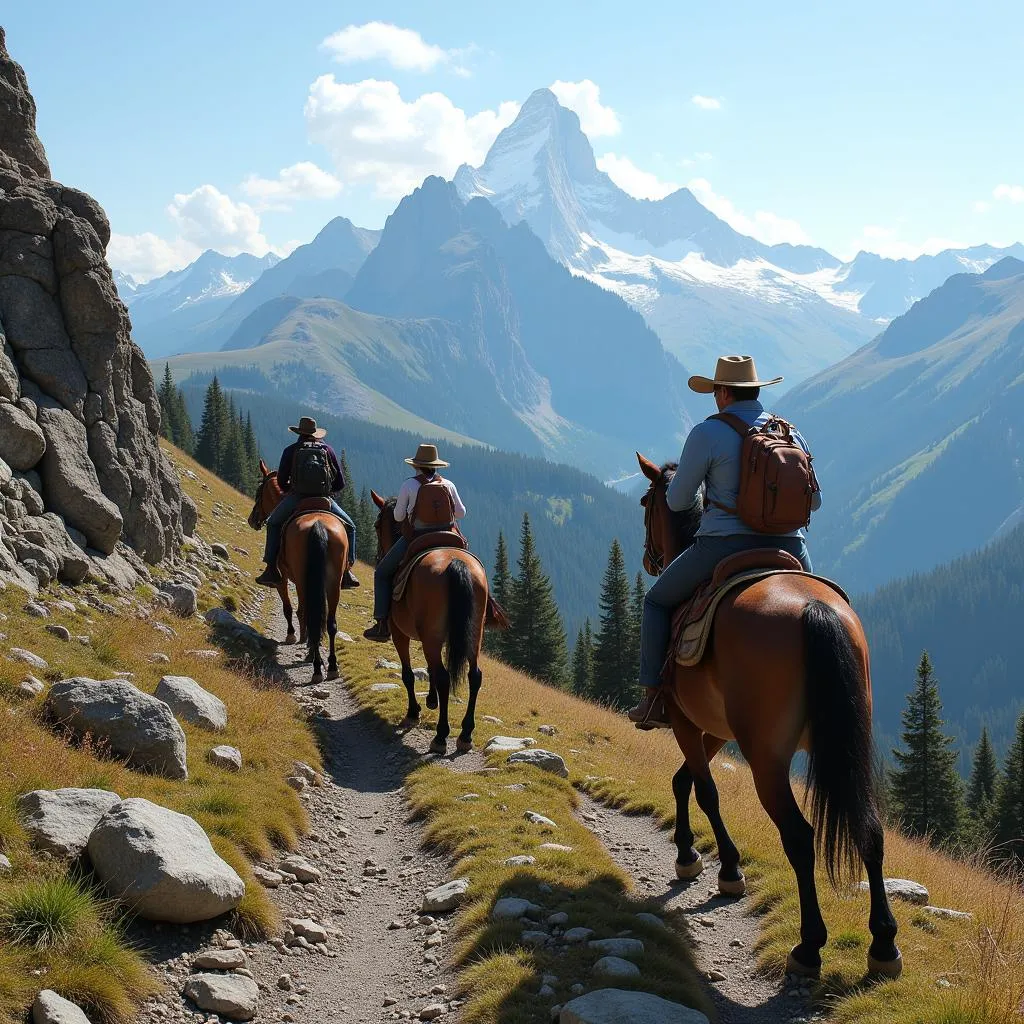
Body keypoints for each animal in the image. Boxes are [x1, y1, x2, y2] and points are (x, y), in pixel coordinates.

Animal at [247, 458, 348, 679]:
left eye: (259, 492)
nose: (252, 520)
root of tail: (318, 525)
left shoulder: (283, 578)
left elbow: (290, 608)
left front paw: (294, 636)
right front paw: (307, 641)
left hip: (303, 580)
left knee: (308, 612)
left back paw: (316, 666)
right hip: (332, 583)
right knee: (330, 622)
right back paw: (331, 665)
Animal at [370, 491, 497, 757]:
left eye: (377, 525)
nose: (378, 557)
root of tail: (456, 565)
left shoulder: (399, 632)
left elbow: (408, 674)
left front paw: (413, 713)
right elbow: (428, 668)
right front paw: (431, 700)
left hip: (431, 636)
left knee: (444, 677)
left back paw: (440, 736)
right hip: (472, 635)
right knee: (474, 675)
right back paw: (465, 734)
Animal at [638, 454, 905, 983]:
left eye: (645, 503)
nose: (649, 560)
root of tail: (815, 609)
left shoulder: (685, 718)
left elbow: (704, 790)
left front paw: (722, 868)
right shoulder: (717, 730)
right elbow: (684, 781)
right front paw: (687, 854)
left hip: (767, 758)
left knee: (799, 836)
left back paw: (809, 945)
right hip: (846, 745)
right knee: (870, 829)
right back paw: (883, 944)